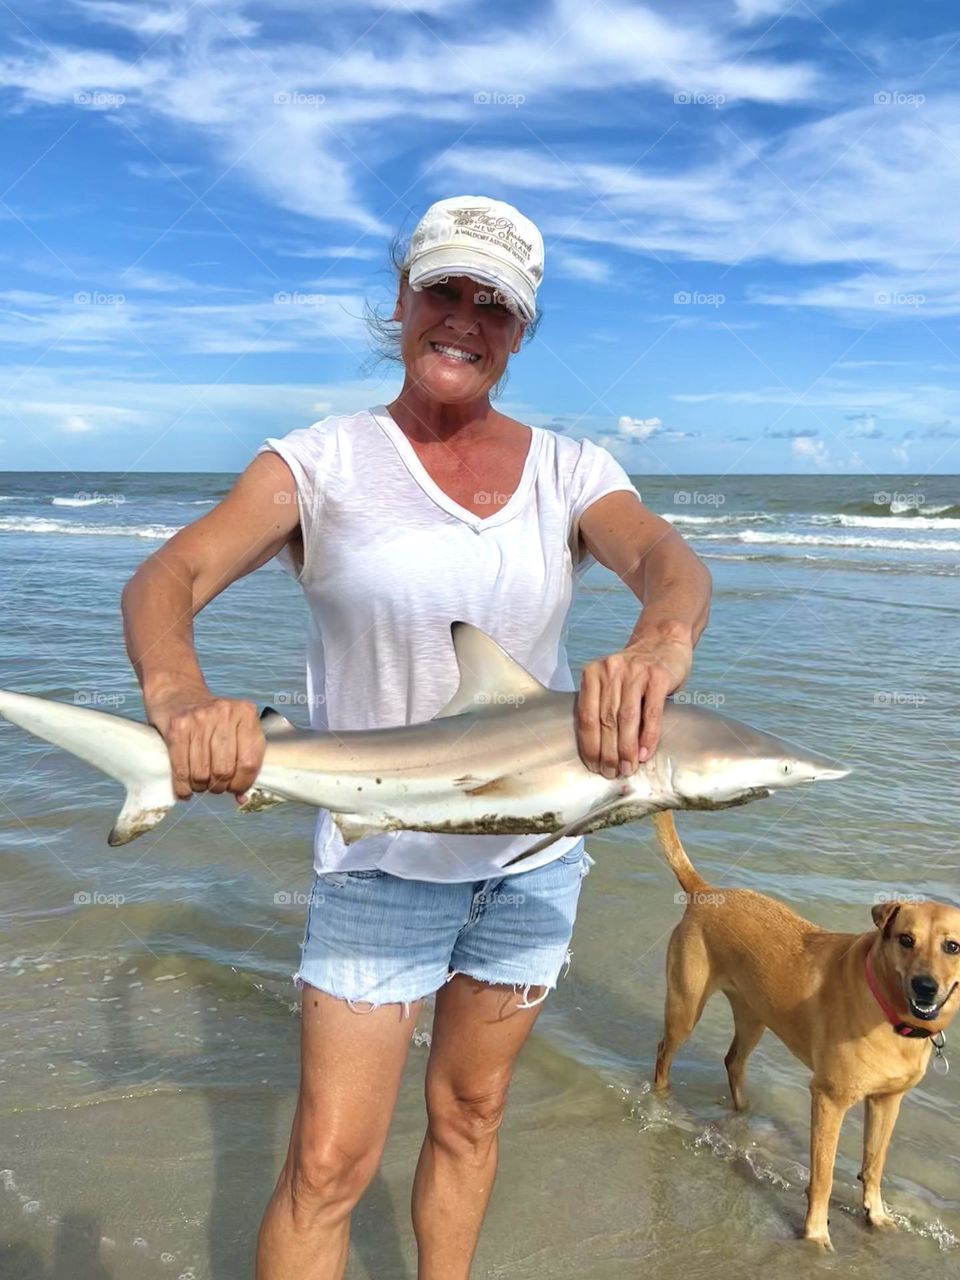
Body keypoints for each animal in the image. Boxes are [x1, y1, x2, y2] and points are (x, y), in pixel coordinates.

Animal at [650, 808, 957, 1249]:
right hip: (685, 1009)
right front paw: (815, 1235)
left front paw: (876, 1215)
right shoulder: (829, 1098)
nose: (925, 987)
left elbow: (874, 1163)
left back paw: (744, 1111)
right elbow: (824, 1176)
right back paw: (661, 1102)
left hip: (753, 1016)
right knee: (664, 1054)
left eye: (952, 946)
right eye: (905, 939)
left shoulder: (887, 1101)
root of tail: (703, 892)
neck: (889, 1012)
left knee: (733, 1061)